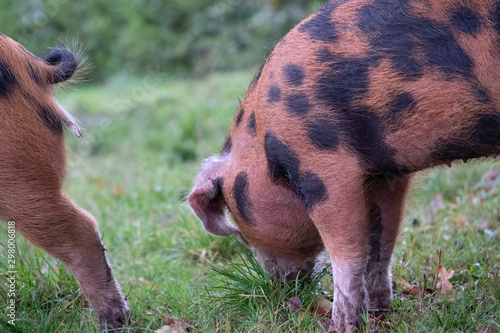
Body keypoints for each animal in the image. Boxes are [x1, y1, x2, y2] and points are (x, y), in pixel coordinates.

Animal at [189, 0, 500, 330]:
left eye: (238, 215)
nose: (282, 290)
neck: (262, 132)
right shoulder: (386, 174)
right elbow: (381, 242)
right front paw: (378, 311)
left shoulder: (326, 163)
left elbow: (347, 254)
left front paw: (338, 327)